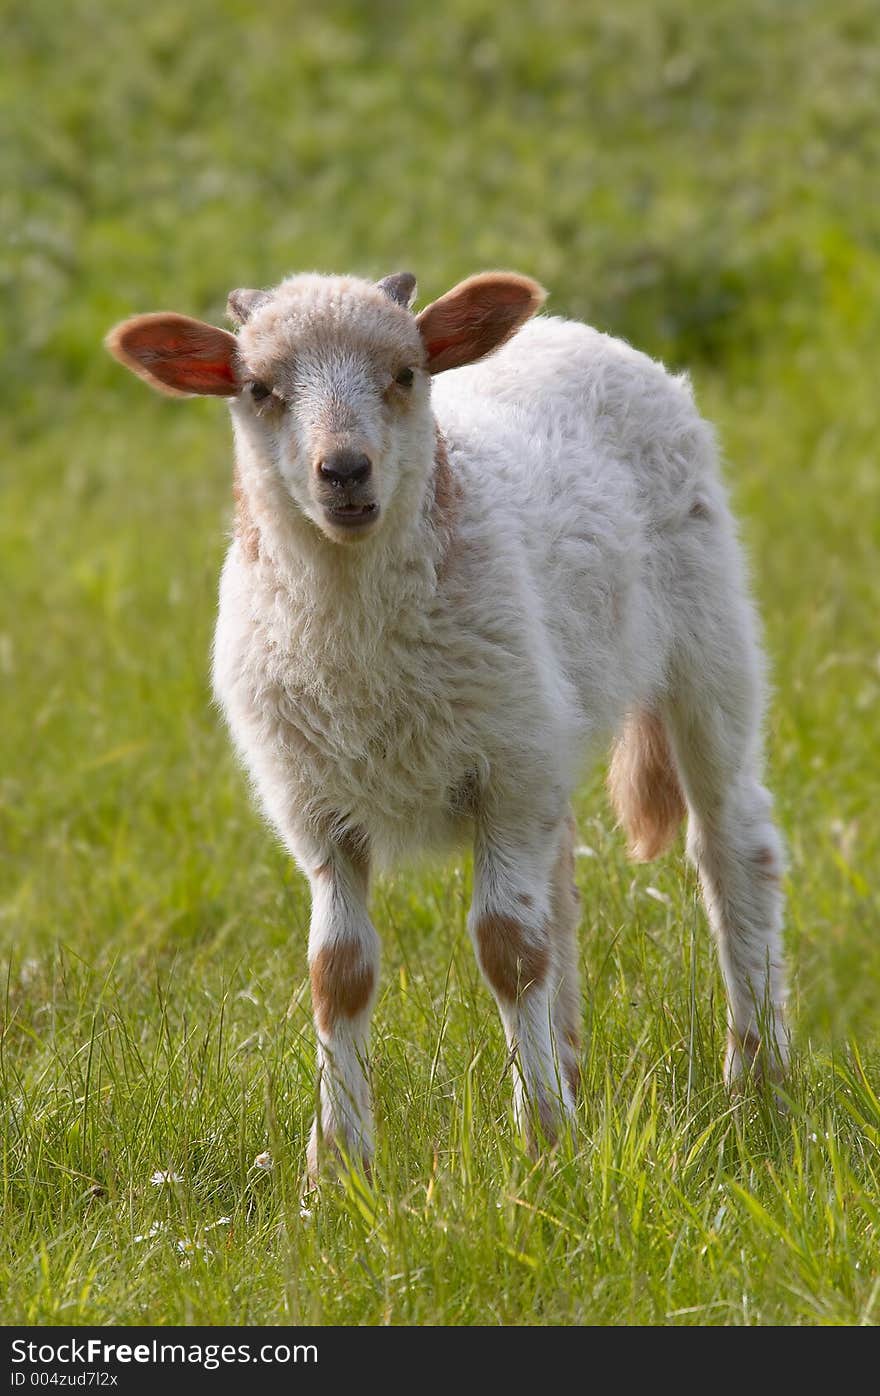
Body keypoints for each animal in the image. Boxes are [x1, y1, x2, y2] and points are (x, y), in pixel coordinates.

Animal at [105, 266, 793, 1172]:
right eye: (258, 389)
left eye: (406, 373)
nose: (345, 471)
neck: (361, 657)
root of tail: (574, 329)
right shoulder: (318, 807)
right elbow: (339, 973)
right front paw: (339, 1167)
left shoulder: (502, 775)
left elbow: (507, 951)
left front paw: (542, 1141)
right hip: (539, 727)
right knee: (563, 887)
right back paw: (574, 1066)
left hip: (704, 634)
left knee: (731, 844)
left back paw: (757, 1082)